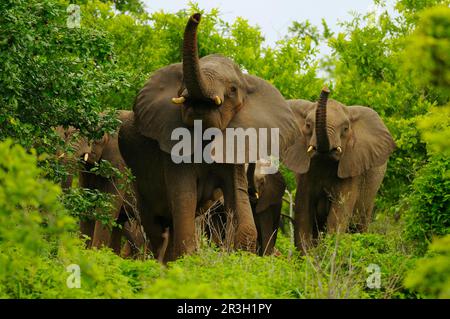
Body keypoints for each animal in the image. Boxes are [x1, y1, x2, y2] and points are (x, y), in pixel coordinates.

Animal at [118, 13, 300, 262]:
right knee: (155, 225)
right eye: (182, 82)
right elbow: (184, 195)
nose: (196, 15)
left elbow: (237, 197)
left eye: (233, 89)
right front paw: (187, 262)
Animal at [284, 87, 398, 252]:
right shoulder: (306, 175)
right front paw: (308, 256)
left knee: (360, 223)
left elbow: (338, 215)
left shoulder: (352, 169)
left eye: (345, 128)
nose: (326, 89)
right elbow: (303, 212)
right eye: (308, 125)